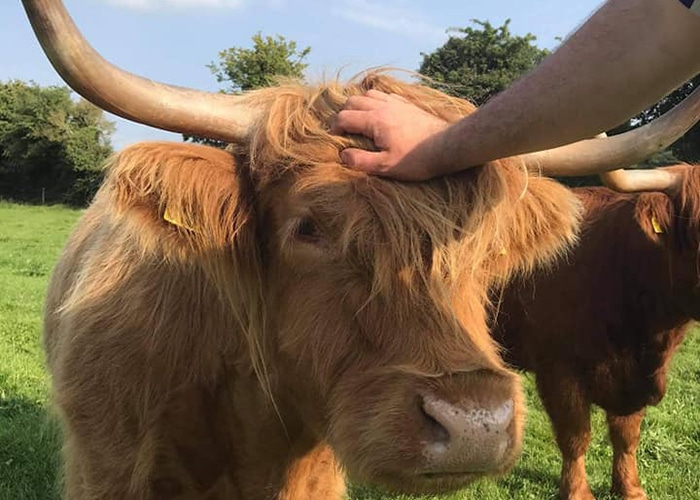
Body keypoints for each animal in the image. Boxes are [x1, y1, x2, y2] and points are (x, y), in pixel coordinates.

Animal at [491, 164, 700, 500]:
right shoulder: (559, 370)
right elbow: (575, 436)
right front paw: (577, 491)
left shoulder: (633, 377)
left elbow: (627, 434)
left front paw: (630, 488)